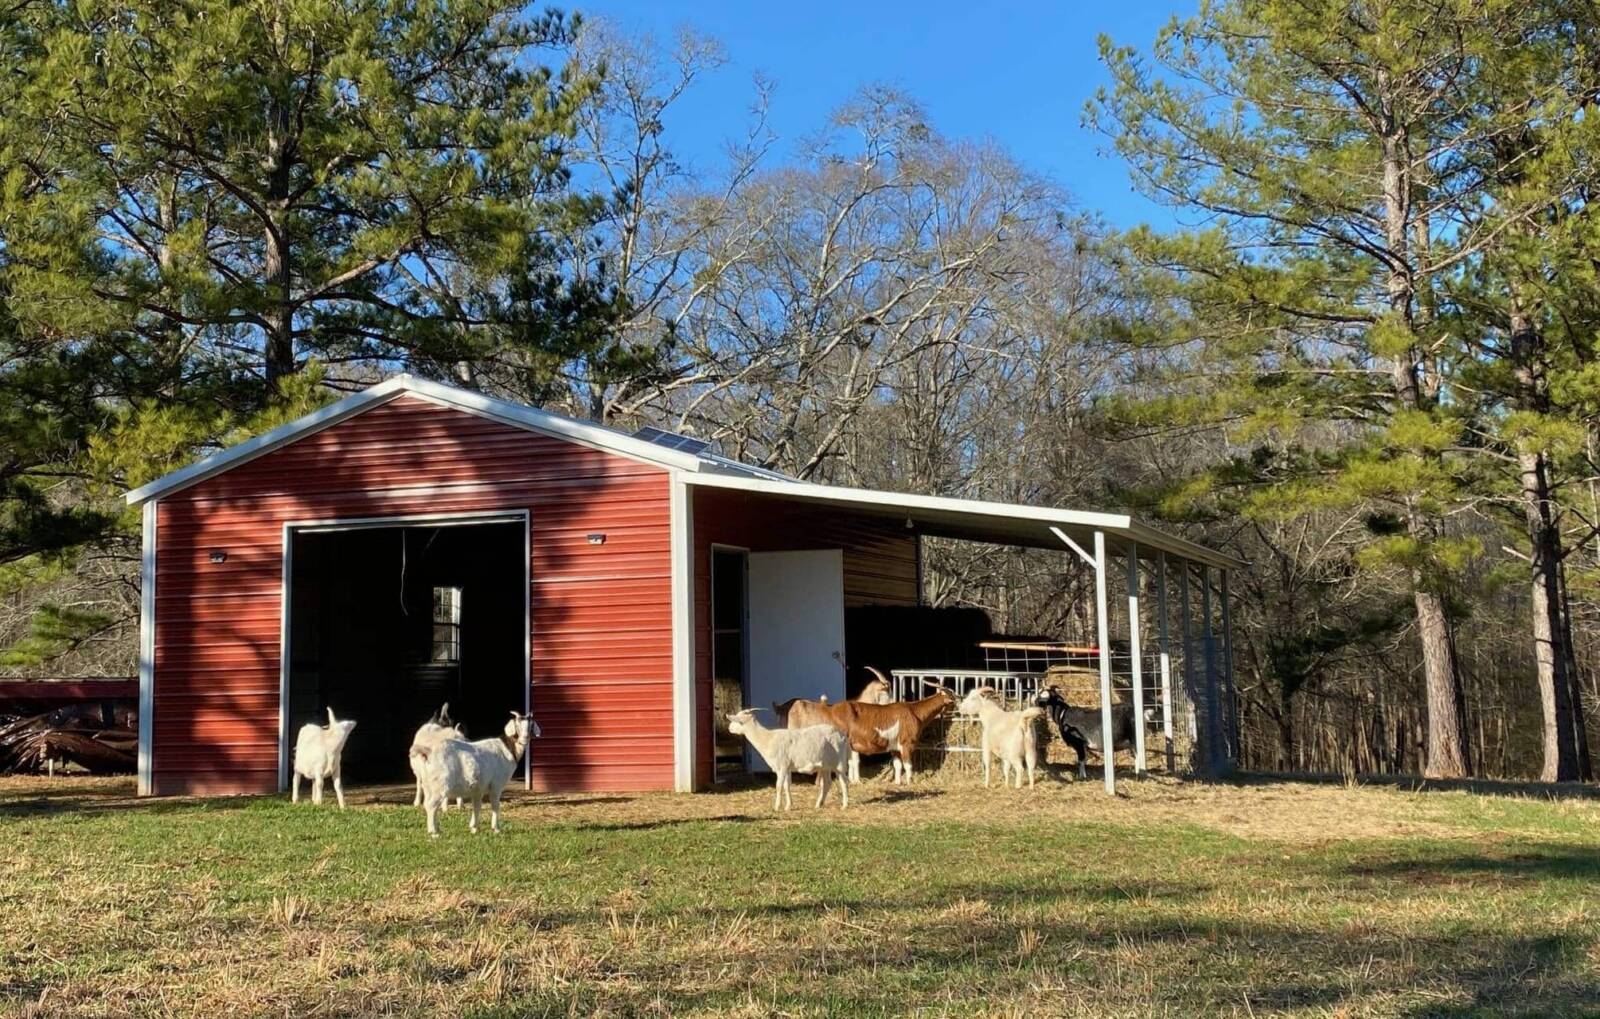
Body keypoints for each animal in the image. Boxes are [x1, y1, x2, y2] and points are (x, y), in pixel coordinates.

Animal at [409, 711, 539, 837]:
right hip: (440, 784)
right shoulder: (496, 785)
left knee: (427, 804)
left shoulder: (478, 789)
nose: (525, 738)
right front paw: (496, 829)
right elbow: (495, 806)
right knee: (431, 805)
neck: (507, 748)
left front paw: (474, 828)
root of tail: (429, 752)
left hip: (428, 785)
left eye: (530, 725)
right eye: (517, 725)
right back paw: (434, 833)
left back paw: (437, 829)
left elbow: (477, 807)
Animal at [726, 709, 858, 810]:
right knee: (827, 783)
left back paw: (844, 805)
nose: (729, 729)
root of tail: (843, 736)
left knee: (844, 782)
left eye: (736, 721)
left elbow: (779, 786)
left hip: (839, 763)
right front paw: (788, 806)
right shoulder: (787, 767)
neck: (767, 739)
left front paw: (776, 807)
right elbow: (786, 786)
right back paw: (818, 804)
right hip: (825, 766)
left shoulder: (781, 767)